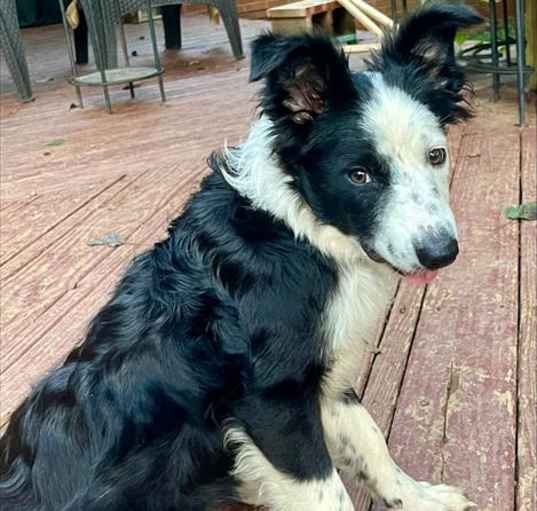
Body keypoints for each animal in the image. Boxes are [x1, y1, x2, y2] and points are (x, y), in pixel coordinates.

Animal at [0, 5, 482, 511]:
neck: (297, 230)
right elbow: (327, 491)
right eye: (359, 175)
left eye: (436, 155)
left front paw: (417, 497)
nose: (441, 254)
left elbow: (370, 440)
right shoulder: (275, 399)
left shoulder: (323, 375)